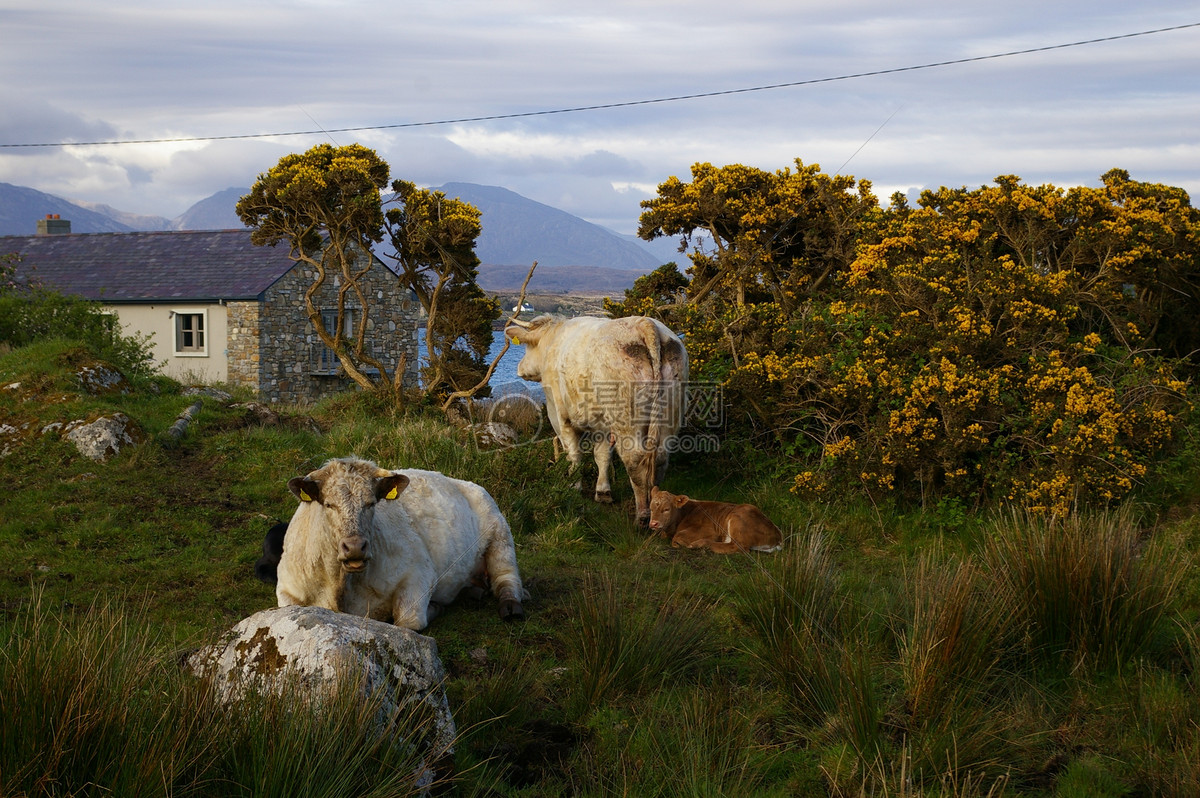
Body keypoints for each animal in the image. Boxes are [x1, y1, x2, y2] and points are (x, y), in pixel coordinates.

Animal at [278, 453, 528, 628]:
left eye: (371, 503)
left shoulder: (418, 572)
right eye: (329, 504)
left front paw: (434, 608)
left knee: (506, 576)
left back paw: (511, 606)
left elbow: (408, 621)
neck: (341, 587)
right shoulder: (286, 585)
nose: (355, 547)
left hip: (500, 532)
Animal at [506, 314, 691, 525]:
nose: (519, 368)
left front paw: (574, 487)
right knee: (660, 458)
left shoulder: (559, 415)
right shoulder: (602, 424)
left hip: (625, 418)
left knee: (635, 460)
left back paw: (642, 515)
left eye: (527, 347)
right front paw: (603, 492)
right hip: (670, 412)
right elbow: (602, 455)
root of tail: (644, 323)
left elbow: (573, 454)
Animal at [652, 484, 782, 554]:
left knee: (738, 547)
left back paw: (698, 544)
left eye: (667, 509)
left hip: (737, 520)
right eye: (651, 506)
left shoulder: (709, 530)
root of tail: (778, 534)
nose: (653, 523)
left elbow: (677, 537)